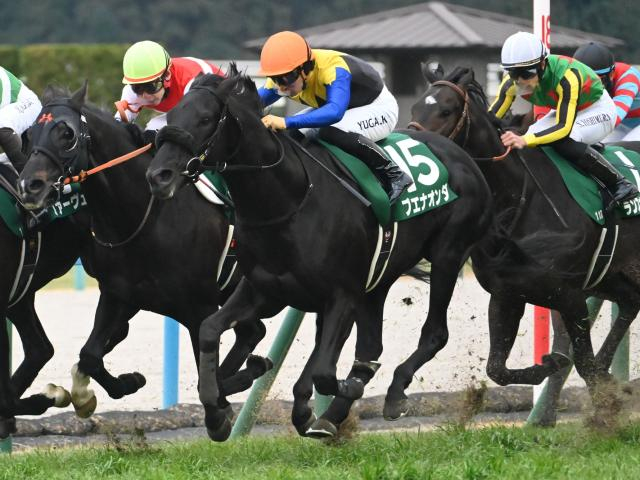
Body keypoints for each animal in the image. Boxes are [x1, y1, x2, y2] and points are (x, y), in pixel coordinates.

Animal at [17, 82, 271, 420]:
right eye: (31, 133)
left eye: (67, 133)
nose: (29, 186)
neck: (145, 218)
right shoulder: (118, 294)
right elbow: (90, 355)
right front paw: (111, 387)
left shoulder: (199, 307)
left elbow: (208, 376)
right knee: (252, 331)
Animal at [145, 66, 492, 441]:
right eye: (170, 118)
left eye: (206, 119)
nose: (158, 176)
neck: (290, 200)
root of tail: (461, 155)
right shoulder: (264, 290)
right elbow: (211, 331)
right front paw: (217, 413)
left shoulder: (341, 294)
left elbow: (324, 371)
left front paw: (331, 397)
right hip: (379, 279)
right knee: (370, 348)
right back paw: (334, 413)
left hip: (447, 255)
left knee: (434, 333)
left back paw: (394, 392)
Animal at [409, 64, 640, 423]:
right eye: (415, 108)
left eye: (446, 111)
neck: (520, 202)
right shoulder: (508, 293)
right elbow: (497, 369)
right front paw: (551, 364)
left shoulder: (569, 295)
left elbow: (583, 364)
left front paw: (604, 415)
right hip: (611, 275)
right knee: (631, 301)